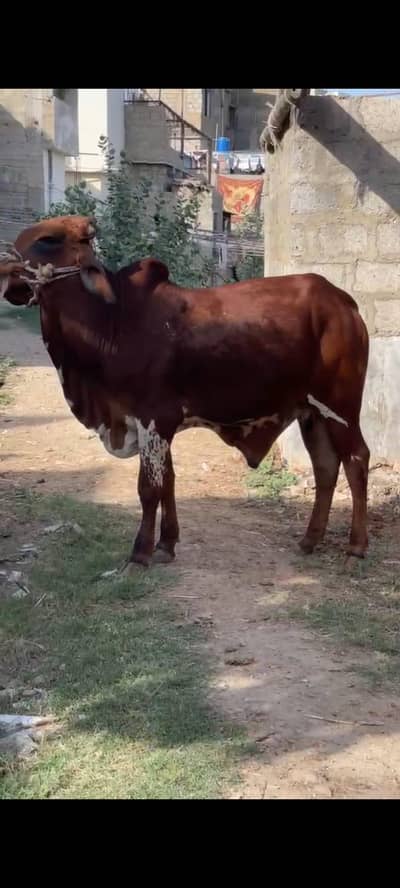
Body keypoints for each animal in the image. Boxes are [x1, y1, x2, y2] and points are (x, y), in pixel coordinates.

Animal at [0, 215, 370, 571]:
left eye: (48, 240)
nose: (5, 266)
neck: (112, 321)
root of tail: (344, 301)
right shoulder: (157, 426)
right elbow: (169, 481)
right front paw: (166, 545)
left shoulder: (153, 420)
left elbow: (150, 488)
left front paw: (140, 554)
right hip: (312, 412)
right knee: (325, 466)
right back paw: (310, 540)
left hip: (341, 407)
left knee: (356, 460)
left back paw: (356, 548)